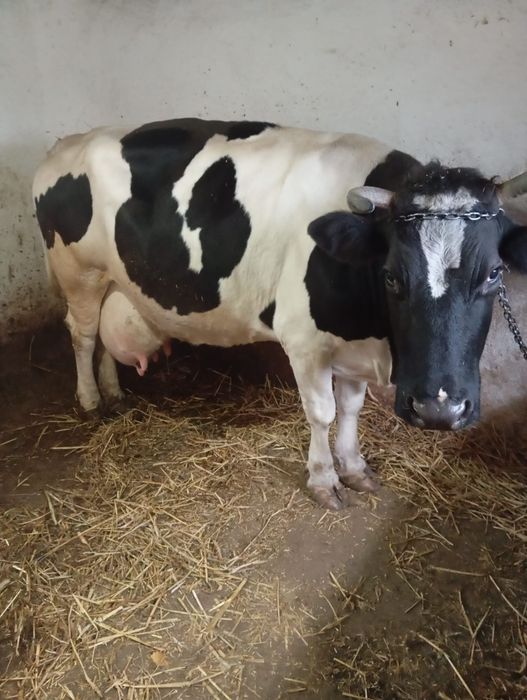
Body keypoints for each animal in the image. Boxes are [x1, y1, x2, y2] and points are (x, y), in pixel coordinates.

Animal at [33, 118, 527, 509]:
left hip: (111, 280)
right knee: (83, 335)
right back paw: (90, 400)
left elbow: (351, 407)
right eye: (391, 276)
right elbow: (323, 412)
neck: (374, 331)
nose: (439, 410)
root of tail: (66, 143)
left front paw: (355, 467)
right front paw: (324, 480)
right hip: (78, 273)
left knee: (102, 340)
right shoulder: (303, 340)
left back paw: (114, 393)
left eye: (494, 274)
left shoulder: (352, 343)